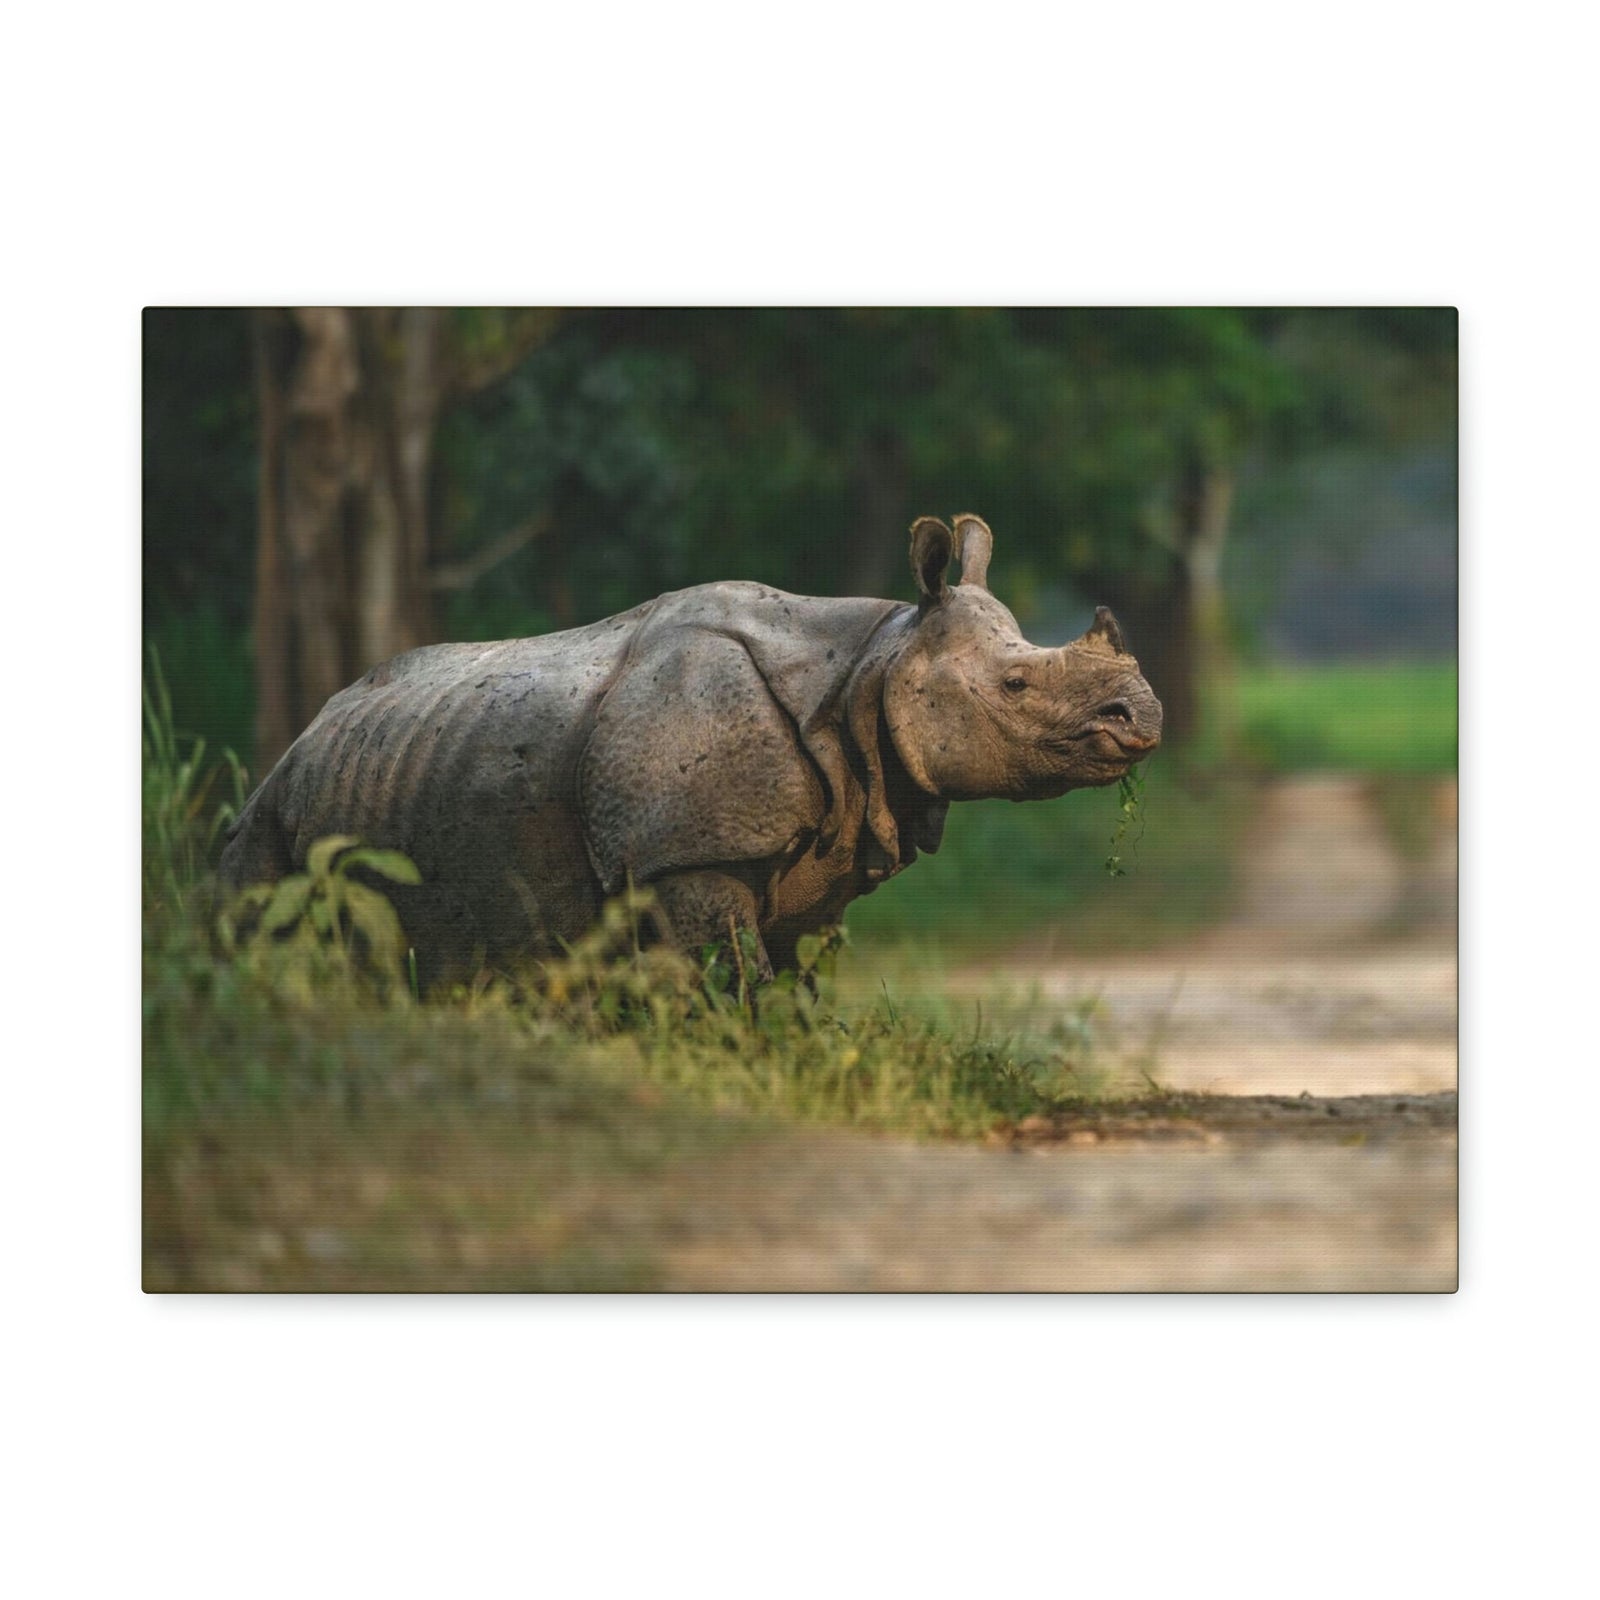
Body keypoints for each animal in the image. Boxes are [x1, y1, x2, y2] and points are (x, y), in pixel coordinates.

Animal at [219, 515, 1162, 983]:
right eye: (1016, 686)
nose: (1144, 717)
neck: (871, 666)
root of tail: (303, 737)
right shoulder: (686, 854)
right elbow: (732, 981)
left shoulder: (817, 851)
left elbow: (793, 986)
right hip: (269, 815)